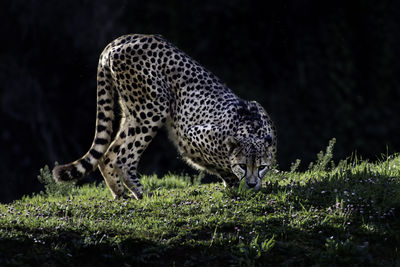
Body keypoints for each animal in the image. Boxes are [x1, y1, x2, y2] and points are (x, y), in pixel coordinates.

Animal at [53, 34, 276, 199]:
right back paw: (139, 192)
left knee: (108, 155)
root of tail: (124, 38)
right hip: (153, 108)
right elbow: (221, 167)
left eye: (262, 167)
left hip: (132, 112)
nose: (252, 183)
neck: (250, 127)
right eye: (243, 165)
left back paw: (121, 194)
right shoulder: (192, 135)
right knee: (121, 157)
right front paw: (235, 184)